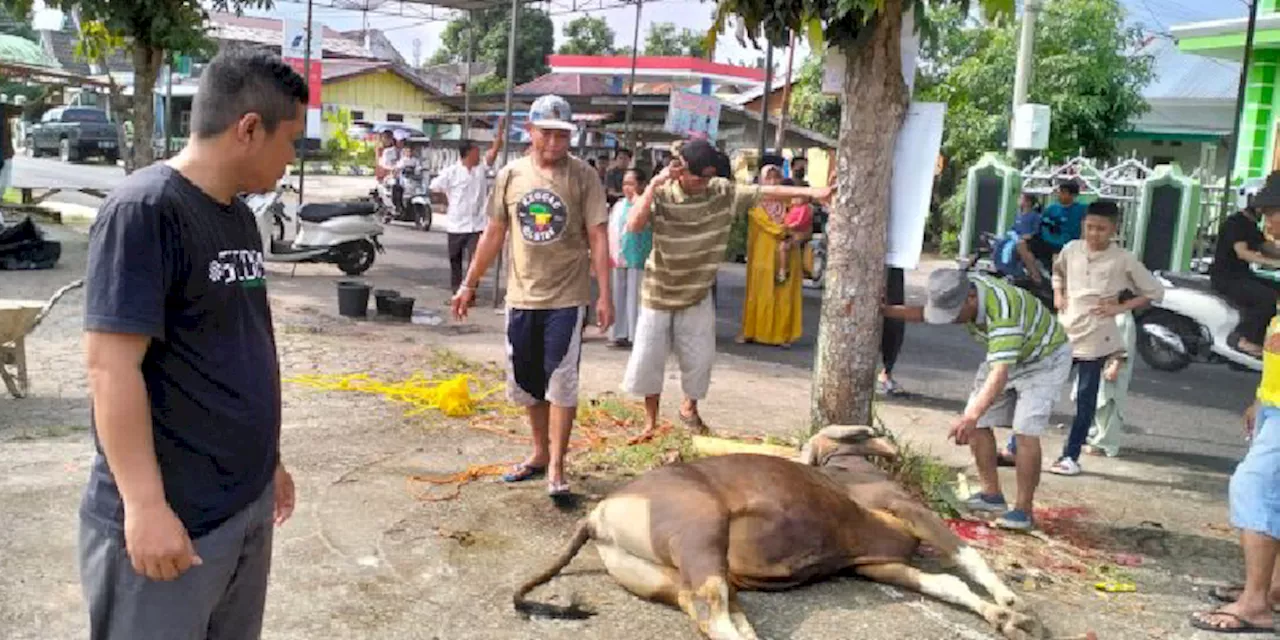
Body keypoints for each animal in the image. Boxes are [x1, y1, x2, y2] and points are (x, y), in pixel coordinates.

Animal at [514, 424, 1044, 640]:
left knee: (712, 611)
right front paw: (1012, 604)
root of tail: (597, 515)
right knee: (713, 613)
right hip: (703, 534)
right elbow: (966, 556)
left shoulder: (879, 565)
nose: (885, 443)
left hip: (668, 575)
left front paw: (1003, 618)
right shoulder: (907, 512)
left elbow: (947, 583)